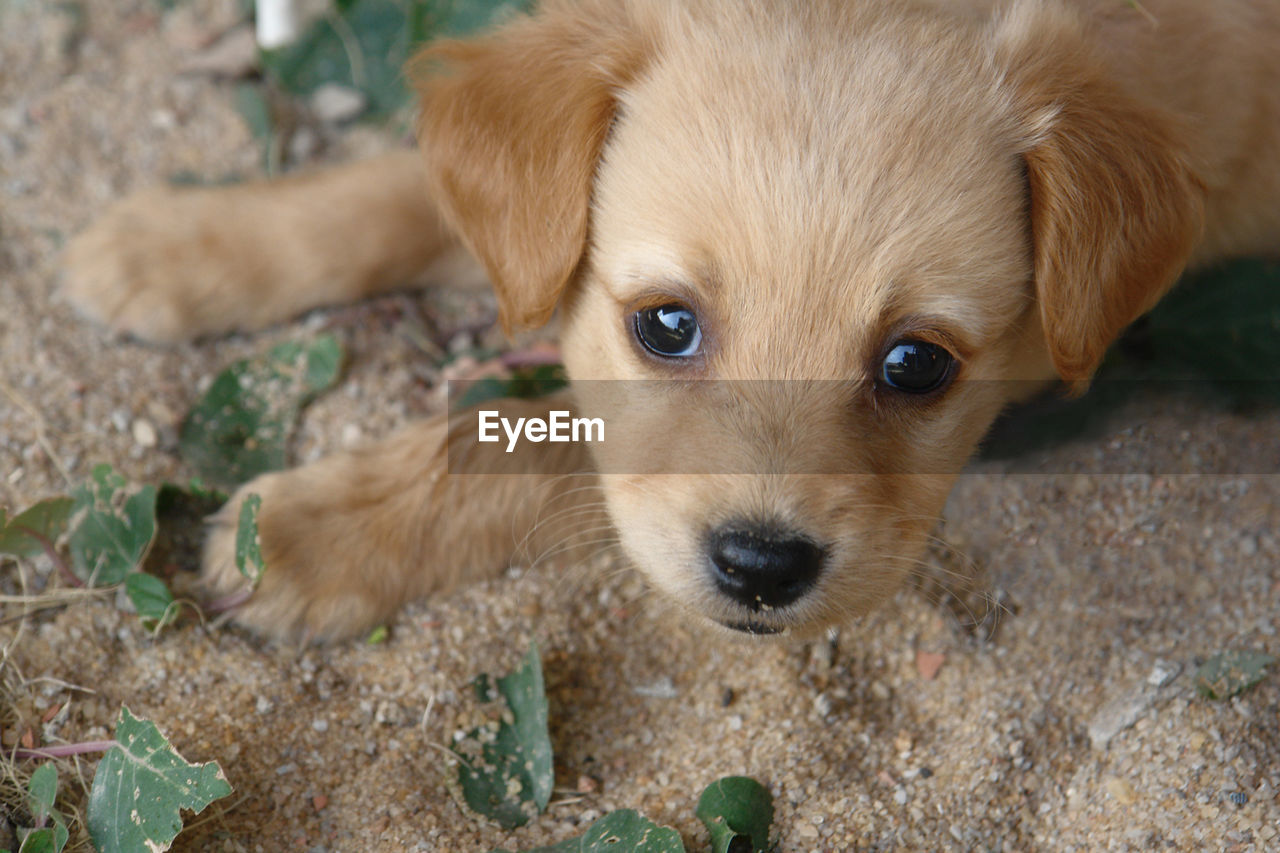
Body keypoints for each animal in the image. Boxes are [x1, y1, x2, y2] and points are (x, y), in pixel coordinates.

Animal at [62, 0, 1280, 637]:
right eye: (664, 325)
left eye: (915, 364)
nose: (761, 568)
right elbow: (400, 193)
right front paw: (178, 243)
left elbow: (530, 436)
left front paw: (315, 528)